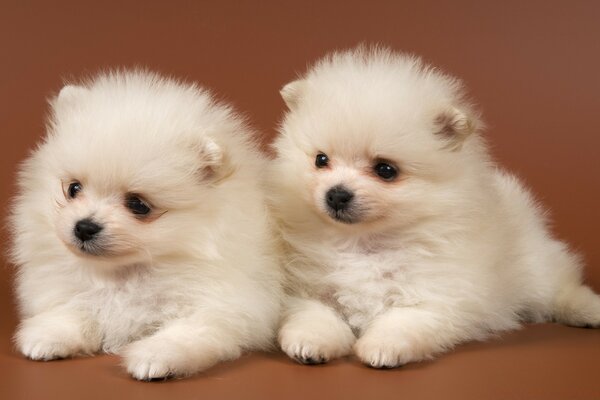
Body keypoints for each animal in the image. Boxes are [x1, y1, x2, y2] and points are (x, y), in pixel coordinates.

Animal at [9, 70, 282, 380]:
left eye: (138, 205)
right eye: (73, 189)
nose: (84, 227)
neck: (125, 274)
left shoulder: (222, 305)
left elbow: (186, 333)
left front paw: (155, 357)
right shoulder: (73, 293)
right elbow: (74, 310)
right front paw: (46, 336)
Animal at [272, 45, 600, 368]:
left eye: (385, 170)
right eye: (321, 160)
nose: (337, 194)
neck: (364, 244)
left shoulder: (436, 295)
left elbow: (403, 321)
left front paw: (382, 347)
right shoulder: (306, 288)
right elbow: (314, 314)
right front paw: (310, 342)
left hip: (536, 266)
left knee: (560, 288)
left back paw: (588, 310)